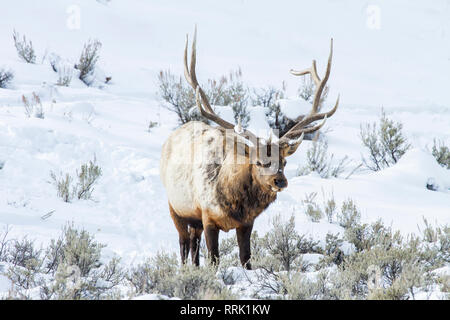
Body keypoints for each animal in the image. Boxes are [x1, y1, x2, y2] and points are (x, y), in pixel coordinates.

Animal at [160, 27, 340, 268]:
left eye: (284, 161)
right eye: (258, 161)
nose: (280, 181)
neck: (233, 204)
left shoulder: (247, 223)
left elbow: (246, 259)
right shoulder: (207, 216)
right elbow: (214, 260)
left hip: (193, 220)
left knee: (193, 247)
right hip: (176, 207)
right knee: (184, 245)